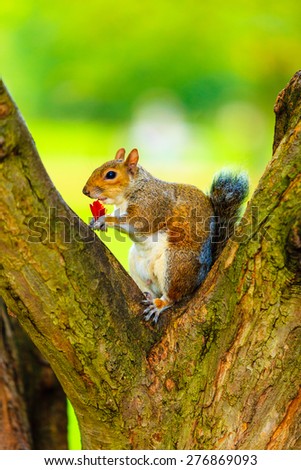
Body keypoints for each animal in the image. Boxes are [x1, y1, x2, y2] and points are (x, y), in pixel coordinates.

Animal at [81, 148, 247, 324]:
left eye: (111, 174)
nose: (85, 191)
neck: (136, 188)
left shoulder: (152, 206)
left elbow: (138, 224)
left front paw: (104, 220)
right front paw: (96, 221)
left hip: (175, 265)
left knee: (173, 296)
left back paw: (159, 304)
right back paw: (148, 295)